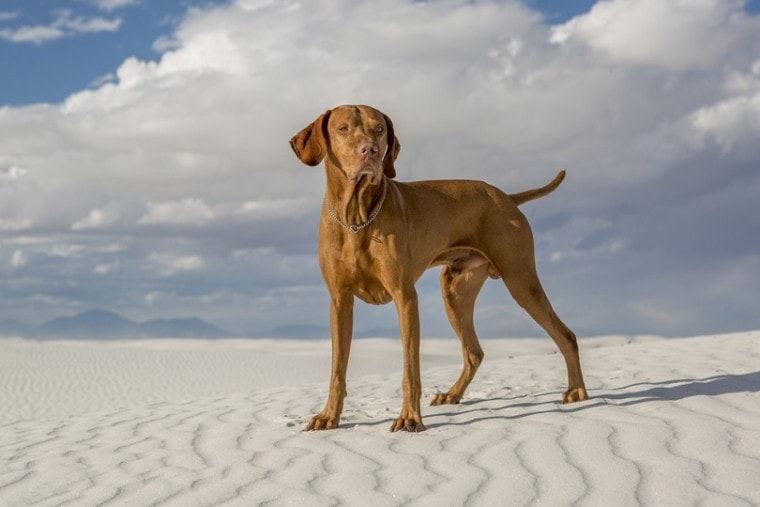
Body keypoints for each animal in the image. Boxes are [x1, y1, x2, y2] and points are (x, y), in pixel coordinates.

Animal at [290, 103, 588, 432]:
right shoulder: (340, 302)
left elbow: (410, 370)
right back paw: (452, 395)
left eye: (378, 129)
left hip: (521, 281)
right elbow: (337, 370)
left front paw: (409, 417)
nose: (370, 150)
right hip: (455, 293)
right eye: (343, 129)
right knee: (474, 352)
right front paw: (329, 415)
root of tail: (507, 198)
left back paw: (577, 391)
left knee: (565, 335)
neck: (357, 218)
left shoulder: (405, 297)